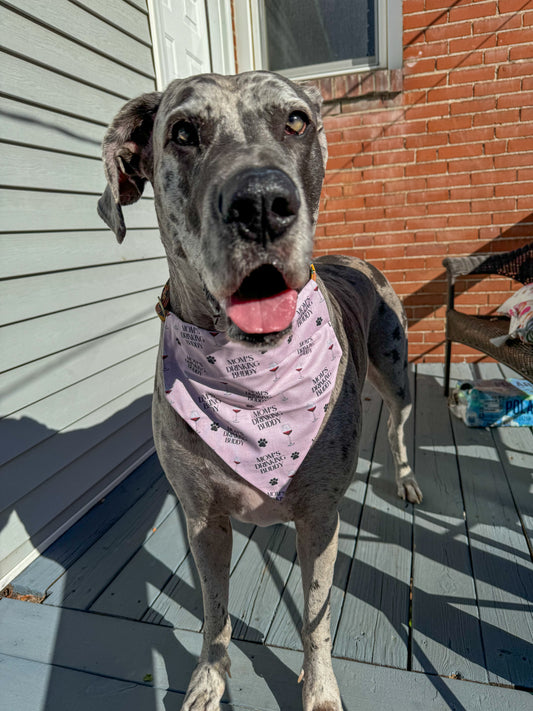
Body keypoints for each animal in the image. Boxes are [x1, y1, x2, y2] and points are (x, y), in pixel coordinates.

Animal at [95, 71, 420, 711]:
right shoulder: (203, 521)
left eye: (296, 121)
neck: (251, 379)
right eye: (182, 132)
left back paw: (405, 479)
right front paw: (207, 679)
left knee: (397, 425)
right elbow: (214, 612)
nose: (263, 203)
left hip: (394, 373)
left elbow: (316, 620)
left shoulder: (319, 519)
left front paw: (319, 689)